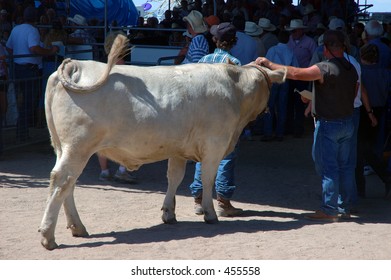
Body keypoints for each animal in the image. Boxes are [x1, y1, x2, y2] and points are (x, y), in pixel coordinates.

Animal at [38, 34, 286, 249]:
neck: (234, 88)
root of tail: (76, 64)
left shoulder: (178, 149)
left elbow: (174, 178)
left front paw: (169, 213)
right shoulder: (215, 145)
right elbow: (208, 179)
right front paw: (210, 213)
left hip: (63, 147)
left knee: (68, 184)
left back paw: (77, 227)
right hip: (78, 147)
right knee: (62, 180)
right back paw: (48, 235)